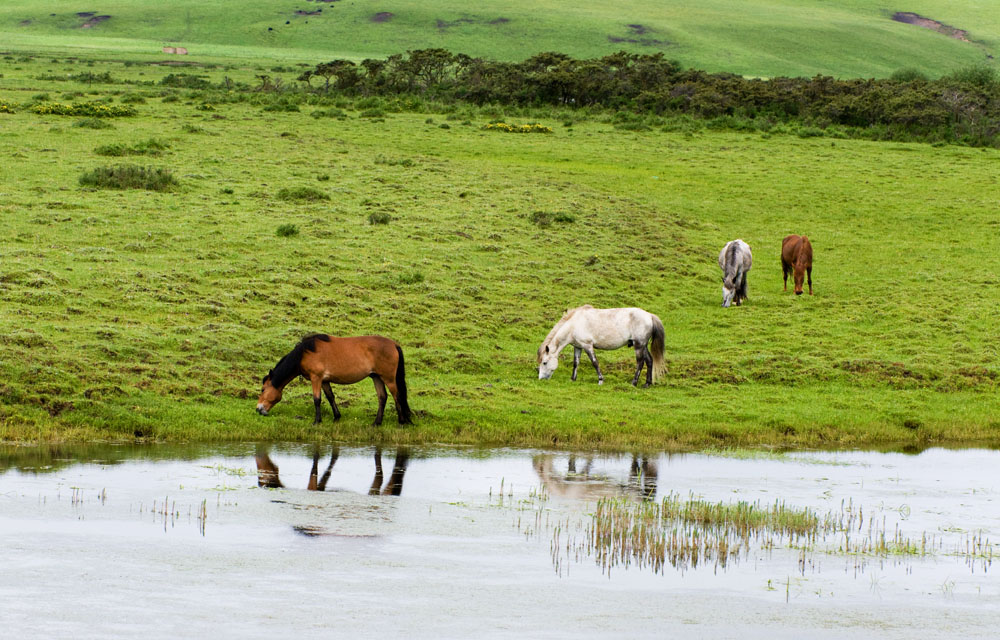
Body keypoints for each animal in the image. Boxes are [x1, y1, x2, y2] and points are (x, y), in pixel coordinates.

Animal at [262, 336, 414, 424]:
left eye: (263, 389)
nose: (259, 409)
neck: (304, 353)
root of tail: (394, 344)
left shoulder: (316, 378)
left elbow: (317, 399)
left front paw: (317, 421)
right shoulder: (324, 380)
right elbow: (330, 397)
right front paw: (336, 417)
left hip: (388, 378)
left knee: (397, 395)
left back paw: (401, 421)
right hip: (376, 377)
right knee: (382, 397)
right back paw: (377, 423)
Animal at [536, 304, 668, 388]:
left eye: (544, 363)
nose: (541, 379)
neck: (574, 324)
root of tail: (650, 316)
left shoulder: (587, 346)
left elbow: (595, 362)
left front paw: (600, 380)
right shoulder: (578, 347)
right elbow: (575, 363)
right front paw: (573, 379)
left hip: (639, 345)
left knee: (640, 362)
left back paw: (634, 383)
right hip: (643, 345)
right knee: (649, 360)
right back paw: (647, 384)